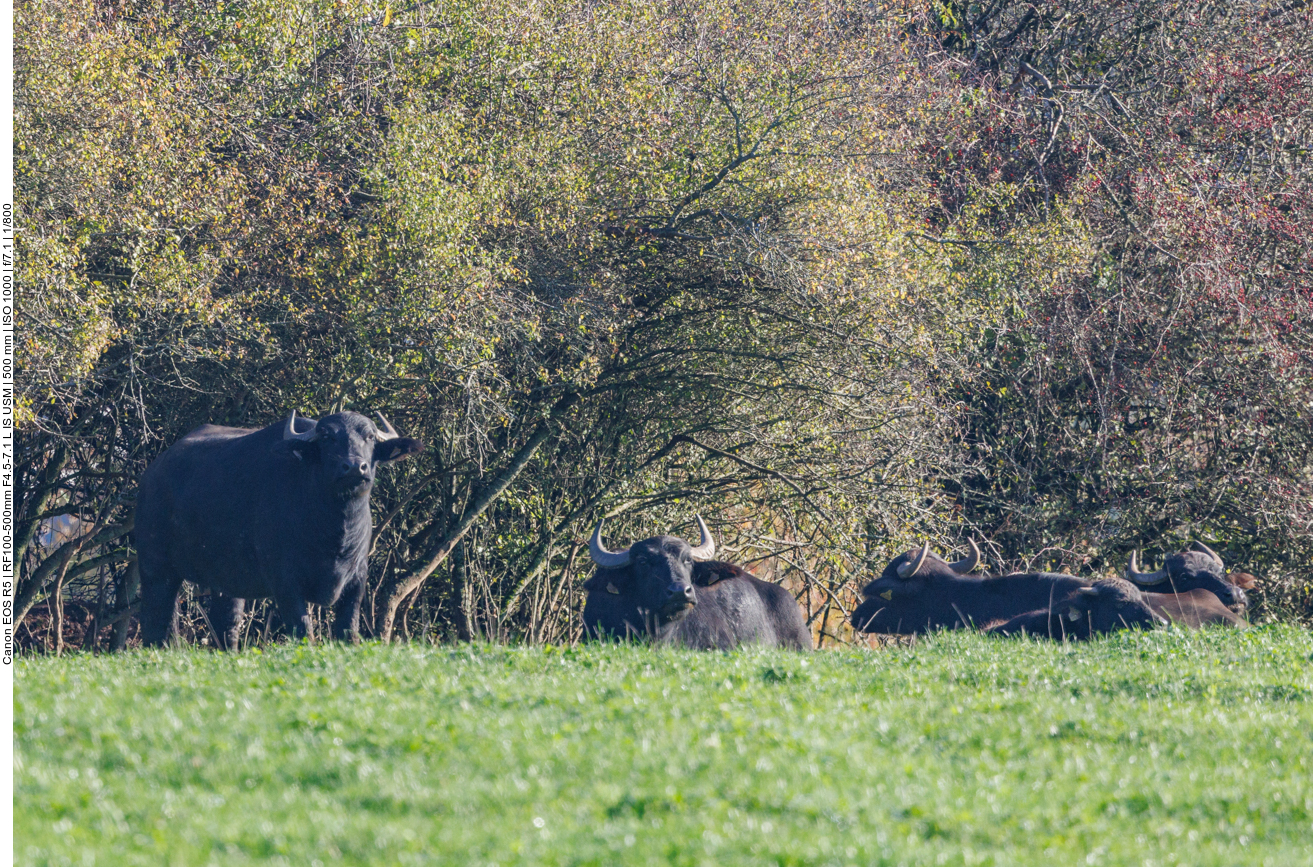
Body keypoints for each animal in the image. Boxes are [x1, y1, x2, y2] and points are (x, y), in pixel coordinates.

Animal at [133, 409, 420, 646]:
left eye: (370, 436)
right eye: (327, 437)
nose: (353, 467)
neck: (335, 532)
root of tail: (151, 475)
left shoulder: (357, 581)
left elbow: (348, 633)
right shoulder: (286, 583)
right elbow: (304, 631)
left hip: (226, 580)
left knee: (226, 625)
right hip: (156, 569)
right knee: (157, 622)